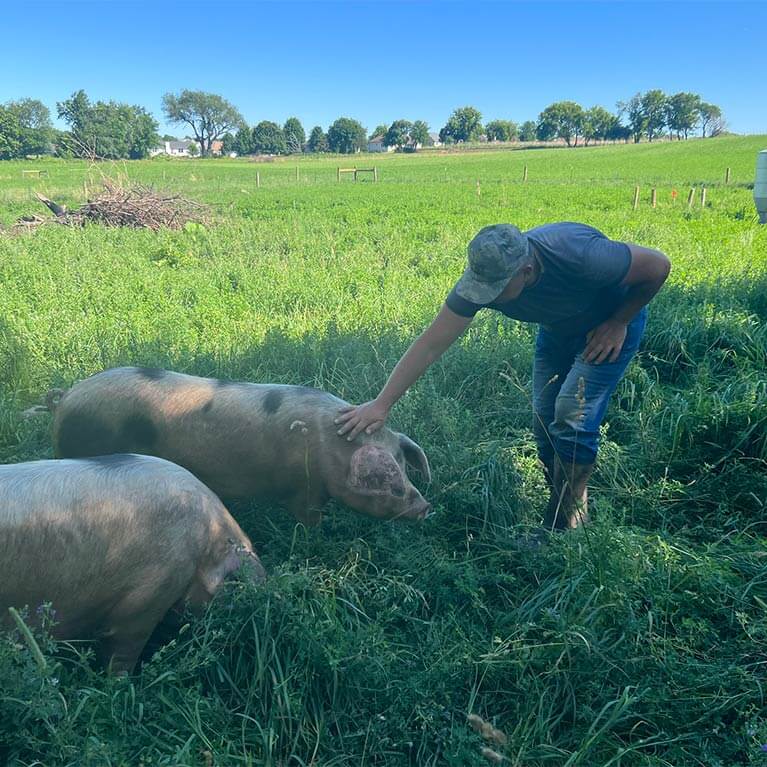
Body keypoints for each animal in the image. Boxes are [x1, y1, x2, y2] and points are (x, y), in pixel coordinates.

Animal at [50, 367, 431, 526]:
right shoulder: (303, 490)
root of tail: (68, 398)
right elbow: (308, 519)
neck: (330, 449)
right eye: (386, 478)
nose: (425, 506)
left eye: (403, 463)